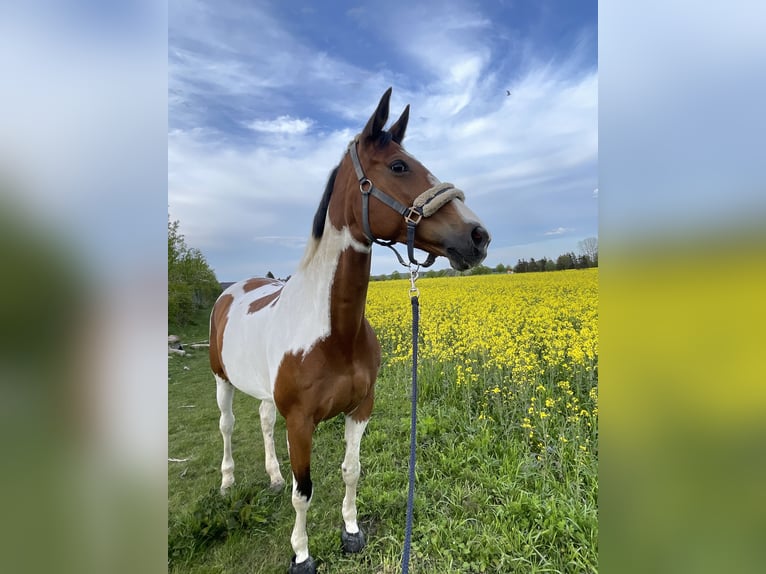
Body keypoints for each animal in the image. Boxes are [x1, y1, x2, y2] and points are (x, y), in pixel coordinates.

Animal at [207, 88, 488, 572]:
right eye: (399, 166)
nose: (478, 236)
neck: (332, 332)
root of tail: (233, 290)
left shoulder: (360, 408)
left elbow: (350, 470)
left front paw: (352, 531)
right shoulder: (300, 423)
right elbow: (304, 492)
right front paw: (301, 553)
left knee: (263, 421)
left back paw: (273, 477)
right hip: (221, 379)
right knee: (227, 426)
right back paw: (227, 485)